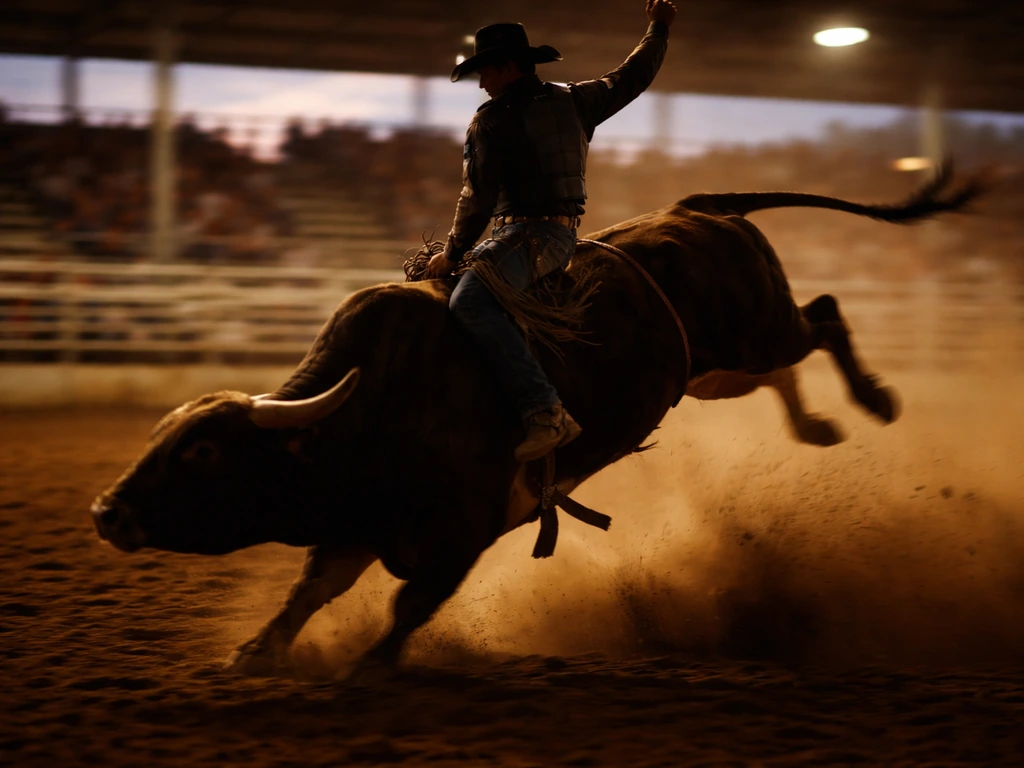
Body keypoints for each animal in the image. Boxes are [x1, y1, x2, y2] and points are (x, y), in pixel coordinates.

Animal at [91, 166, 980, 675]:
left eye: (205, 453)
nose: (107, 510)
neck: (372, 408)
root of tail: (699, 207)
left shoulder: (461, 533)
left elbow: (409, 607)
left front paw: (370, 669)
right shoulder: (357, 525)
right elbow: (313, 588)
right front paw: (258, 651)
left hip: (757, 329)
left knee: (823, 315)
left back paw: (876, 400)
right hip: (716, 372)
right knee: (788, 367)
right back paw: (820, 428)